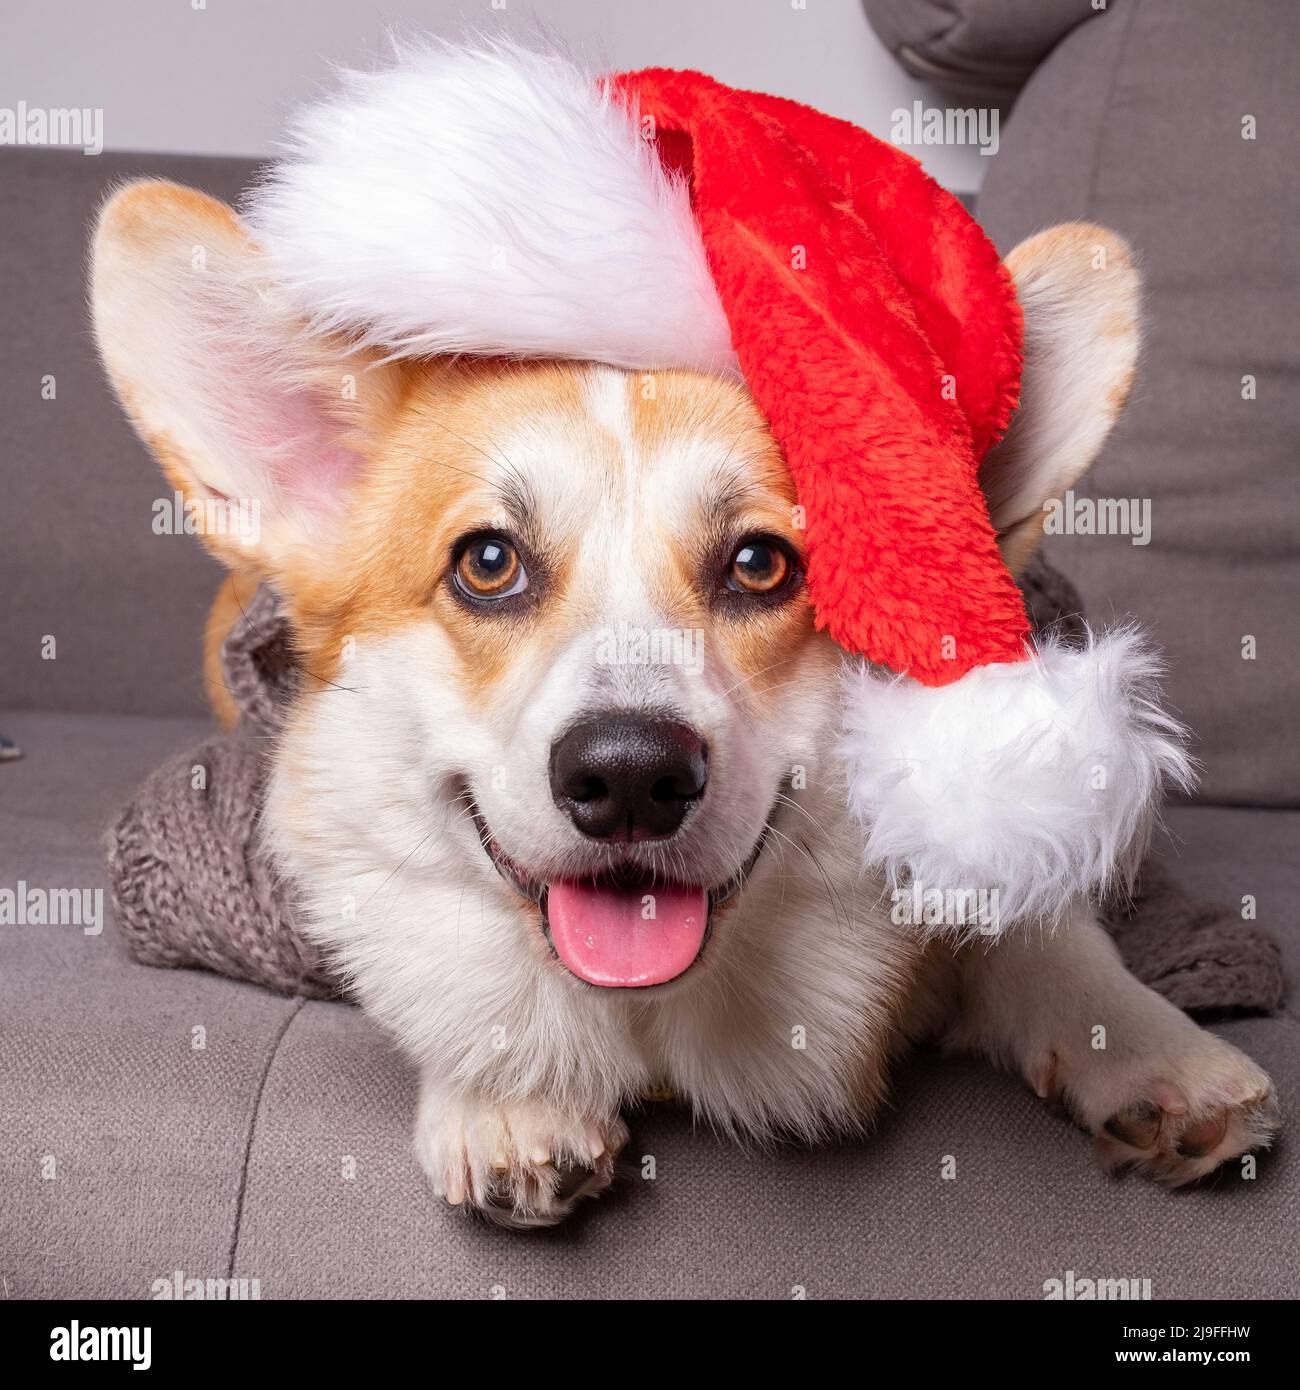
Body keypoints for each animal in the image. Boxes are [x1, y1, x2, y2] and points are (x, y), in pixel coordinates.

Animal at [93, 179, 1279, 1234]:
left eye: (761, 564)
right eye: (488, 563)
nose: (629, 776)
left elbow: (1046, 936)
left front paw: (1156, 1050)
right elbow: (456, 974)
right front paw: (505, 1092)